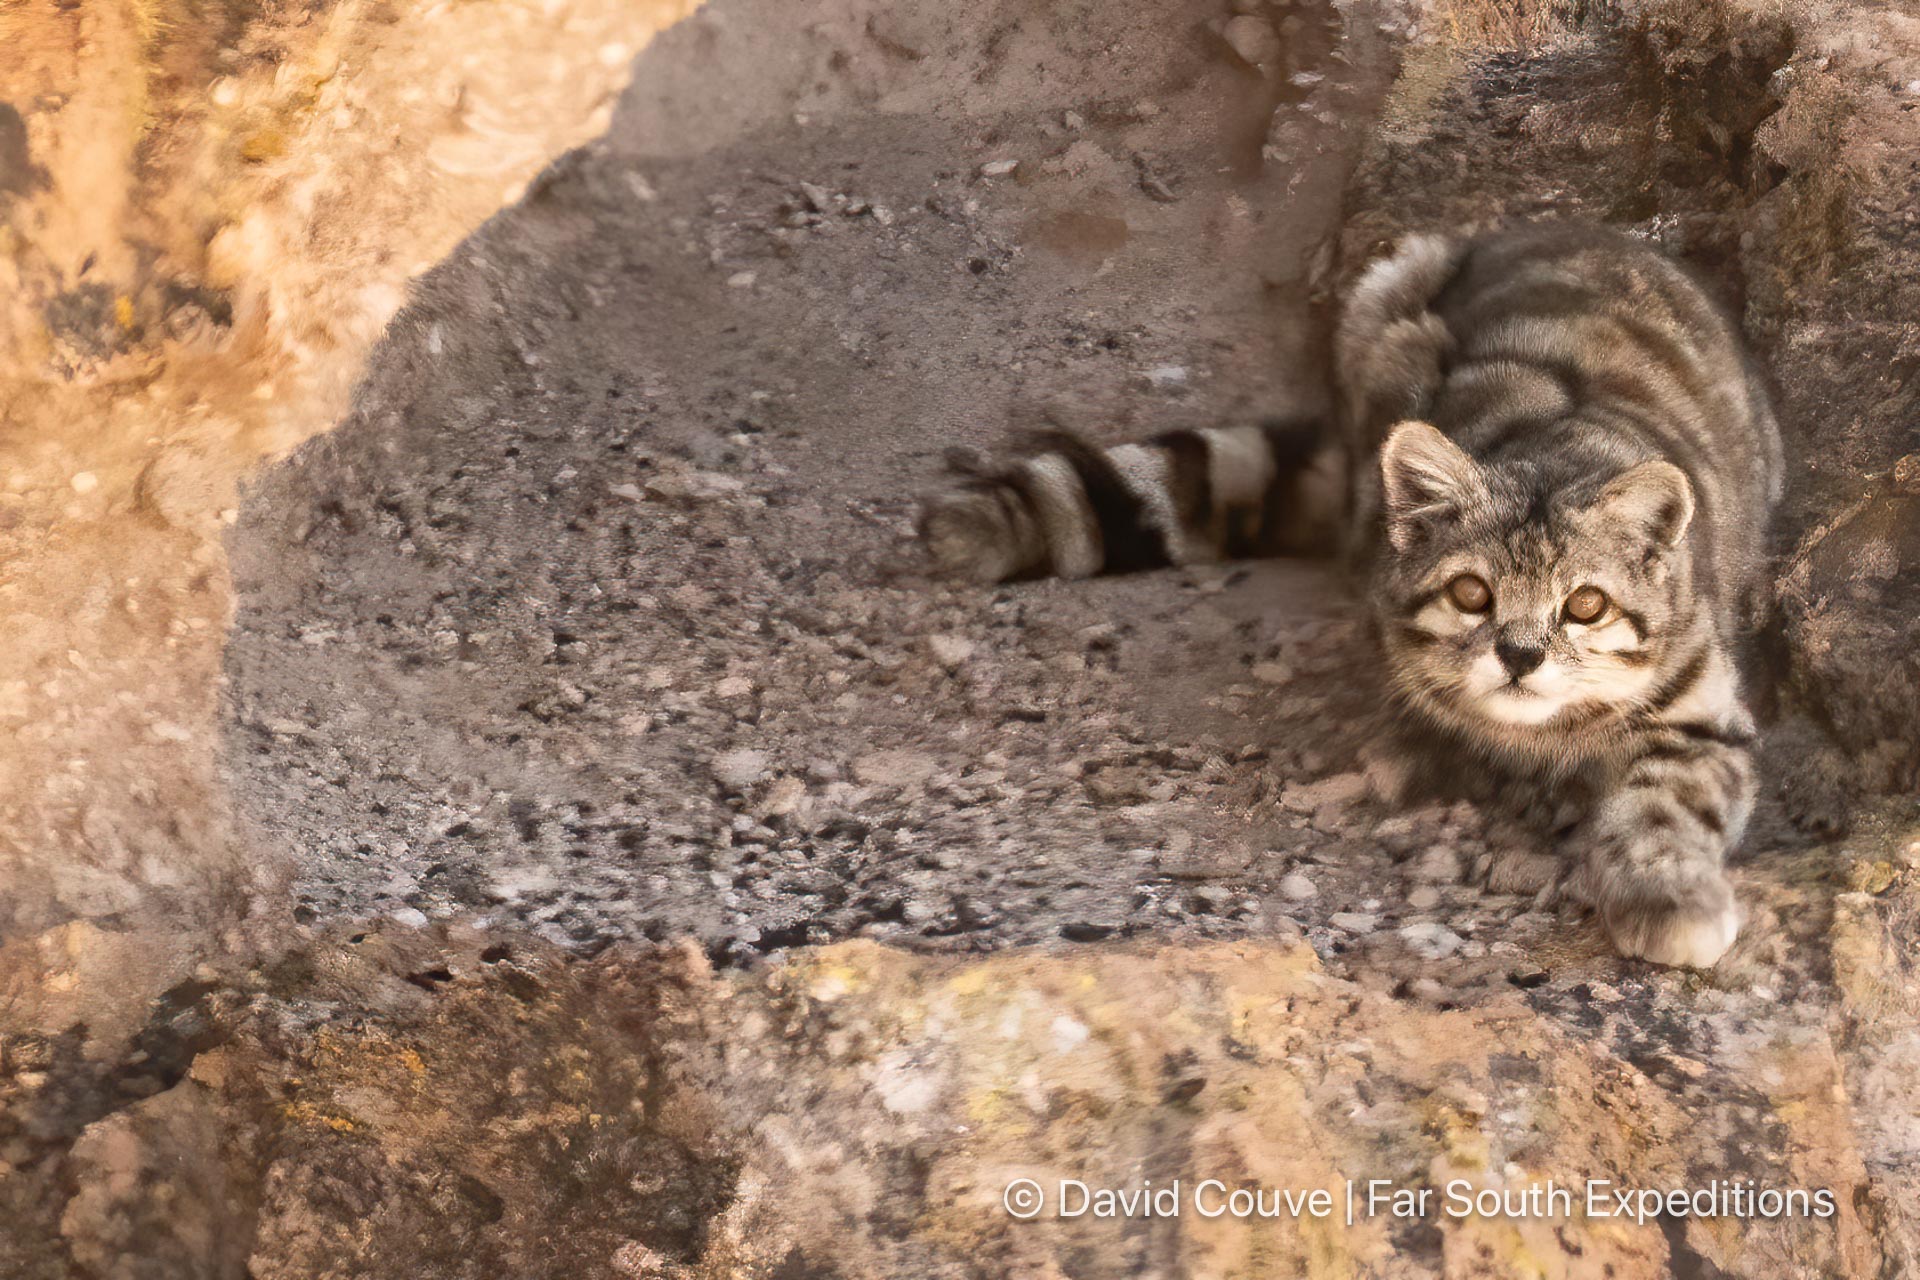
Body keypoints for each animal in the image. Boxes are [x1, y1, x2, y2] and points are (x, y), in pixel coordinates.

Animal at [917, 220, 1781, 967]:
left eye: (1586, 604)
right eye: (1472, 592)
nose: (1520, 655)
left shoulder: (1703, 707)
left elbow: (1669, 801)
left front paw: (1669, 899)